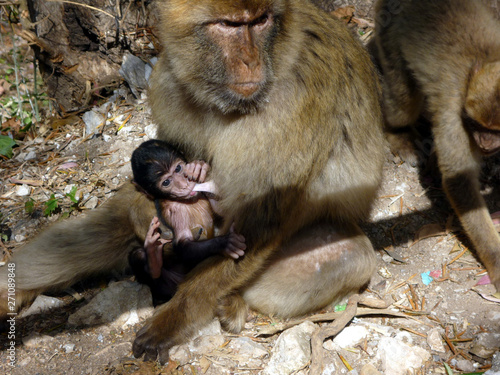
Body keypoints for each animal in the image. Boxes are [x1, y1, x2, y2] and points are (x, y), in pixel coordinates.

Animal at [129, 140, 246, 306]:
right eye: (166, 182)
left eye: (178, 168)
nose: (184, 184)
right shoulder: (173, 212)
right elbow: (183, 244)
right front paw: (225, 243)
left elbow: (223, 210)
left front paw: (199, 168)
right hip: (172, 286)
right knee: (138, 255)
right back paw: (153, 259)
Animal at [376, 0, 500, 288]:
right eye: (476, 126)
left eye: (495, 130)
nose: (484, 142)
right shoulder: (455, 116)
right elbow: (459, 182)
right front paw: (497, 260)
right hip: (388, 36)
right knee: (402, 102)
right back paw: (398, 133)